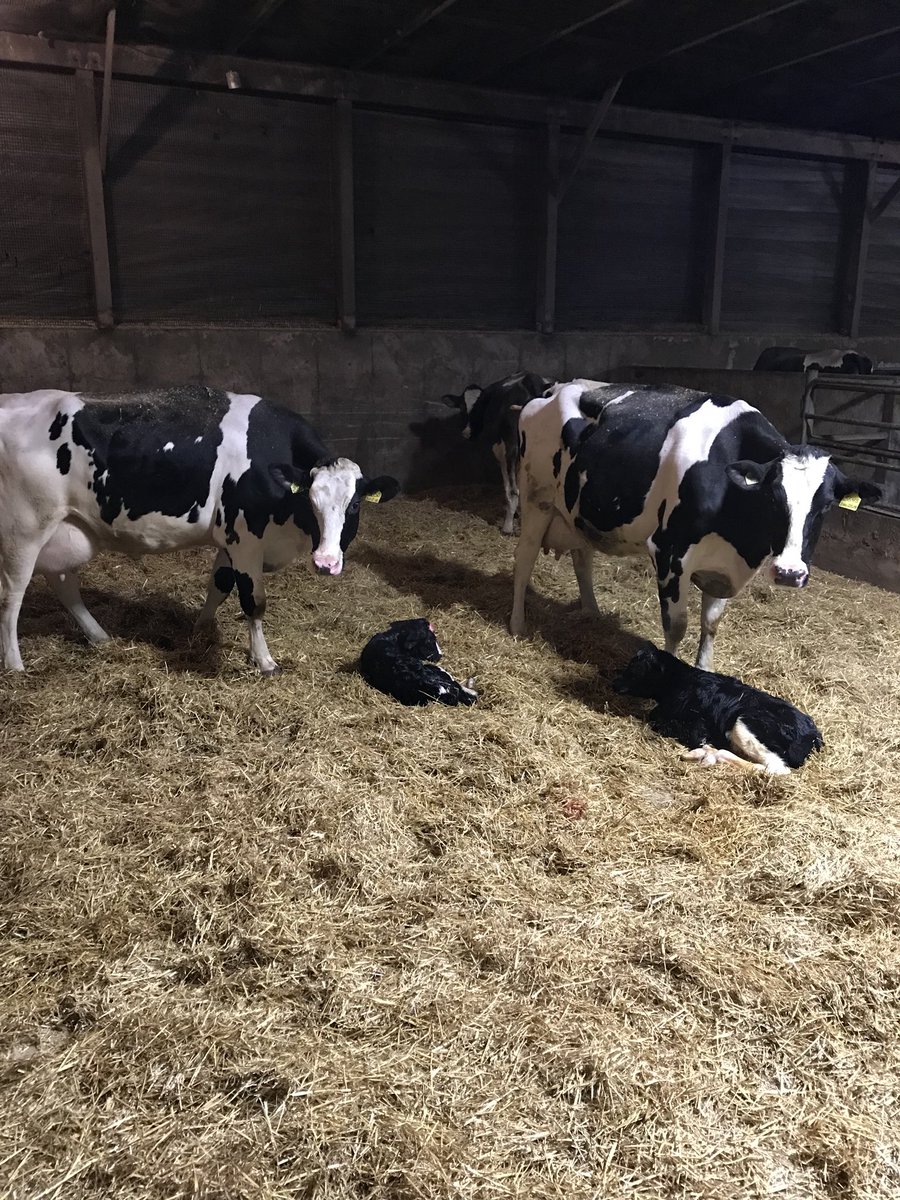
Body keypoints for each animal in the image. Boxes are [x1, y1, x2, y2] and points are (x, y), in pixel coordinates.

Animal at [0, 385, 398, 674]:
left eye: (354, 504)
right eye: (311, 501)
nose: (326, 562)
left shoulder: (230, 538)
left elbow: (219, 586)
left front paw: (200, 630)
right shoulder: (245, 538)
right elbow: (253, 601)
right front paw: (264, 661)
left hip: (66, 530)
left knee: (63, 584)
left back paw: (99, 636)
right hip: (23, 532)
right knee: (11, 597)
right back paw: (16, 665)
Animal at [441, 371, 551, 533]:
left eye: (477, 408)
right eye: (462, 407)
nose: (466, 433)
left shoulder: (500, 450)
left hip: (511, 447)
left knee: (513, 491)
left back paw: (507, 527)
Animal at [511, 380, 881, 669]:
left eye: (826, 505)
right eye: (773, 497)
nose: (790, 573)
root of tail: (554, 388)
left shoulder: (724, 565)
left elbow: (711, 623)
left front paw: (703, 670)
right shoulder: (669, 552)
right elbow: (676, 625)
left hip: (579, 513)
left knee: (582, 558)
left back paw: (591, 611)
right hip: (535, 497)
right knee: (524, 558)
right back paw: (517, 625)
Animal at [613, 644, 823, 774]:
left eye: (635, 670)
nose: (615, 683)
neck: (680, 680)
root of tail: (813, 733)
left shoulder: (695, 722)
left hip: (746, 725)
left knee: (775, 768)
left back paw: (710, 754)